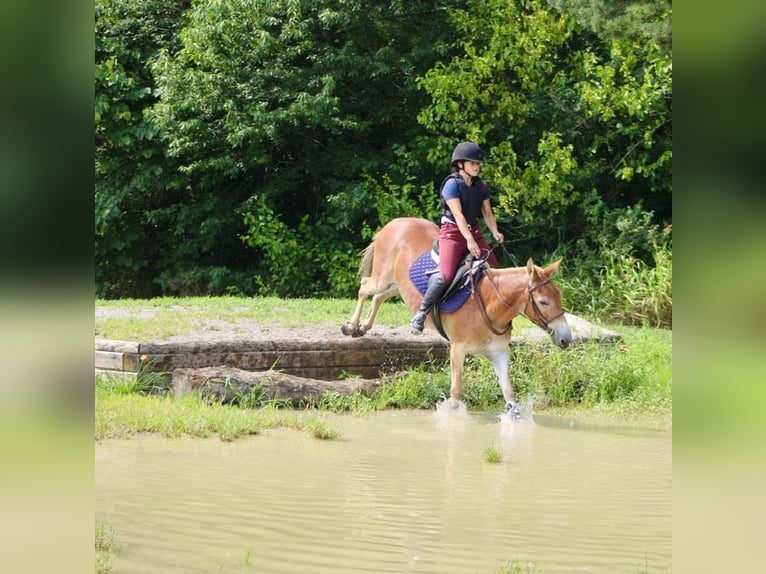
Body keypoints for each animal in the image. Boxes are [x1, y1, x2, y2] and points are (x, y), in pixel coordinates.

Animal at [340, 217, 568, 414]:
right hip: (383, 277)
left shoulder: (499, 352)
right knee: (365, 287)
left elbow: (509, 393)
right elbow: (456, 393)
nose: (566, 338)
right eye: (544, 302)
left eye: (559, 296)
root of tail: (394, 223)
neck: (490, 306)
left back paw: (364, 327)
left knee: (379, 296)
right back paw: (351, 326)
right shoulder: (458, 350)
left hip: (398, 284)